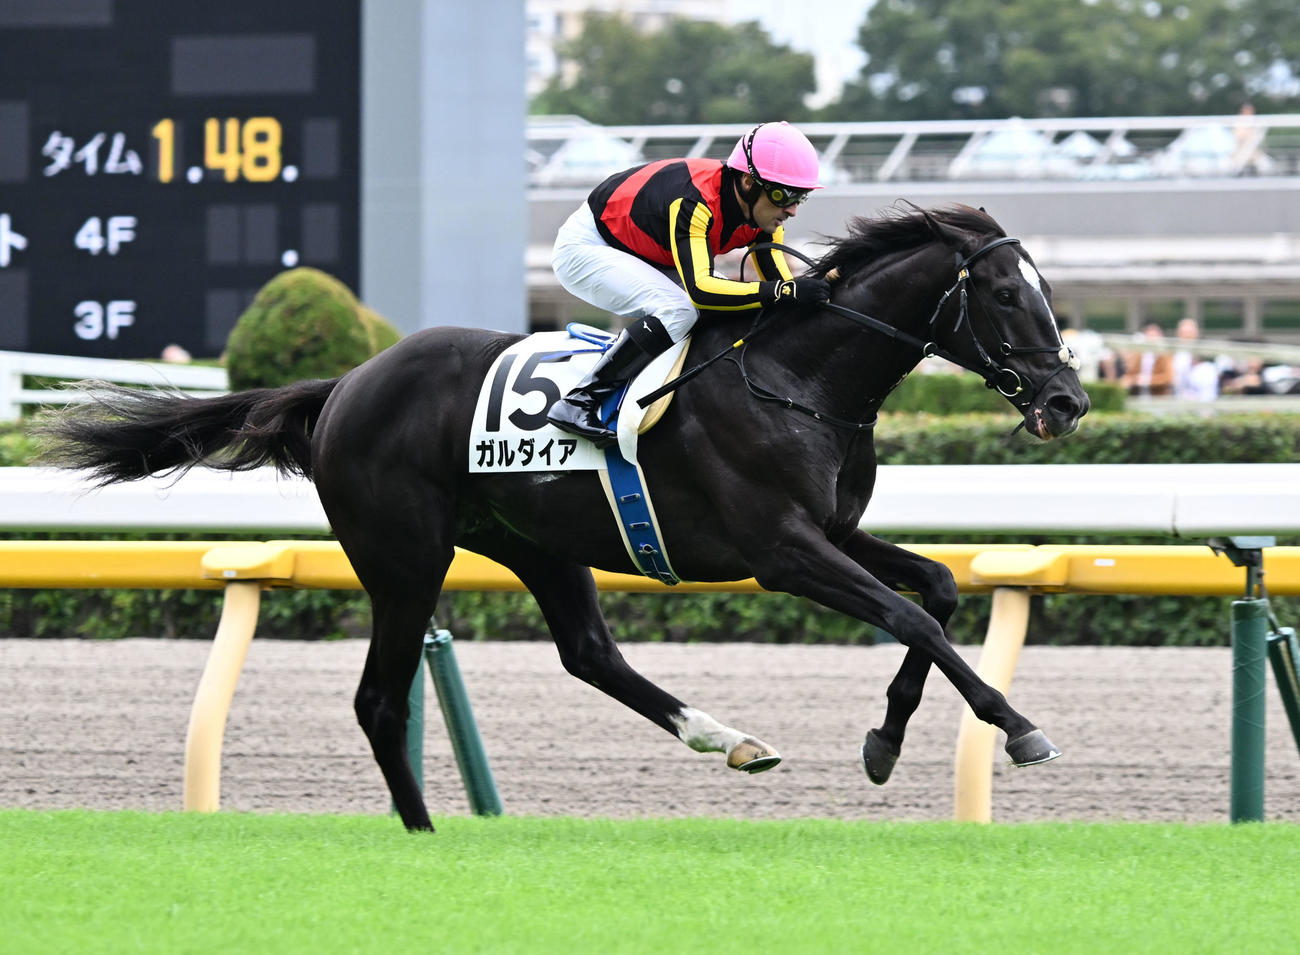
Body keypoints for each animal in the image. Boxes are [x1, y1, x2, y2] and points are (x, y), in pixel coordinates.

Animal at [39, 203, 1089, 832]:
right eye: (1006, 295)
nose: (1068, 400)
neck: (799, 378)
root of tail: (345, 383)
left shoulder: (831, 532)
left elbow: (938, 589)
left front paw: (884, 739)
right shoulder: (782, 550)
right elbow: (912, 614)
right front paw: (1018, 725)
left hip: (536, 544)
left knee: (589, 652)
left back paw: (727, 738)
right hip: (405, 557)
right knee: (379, 698)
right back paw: (424, 831)